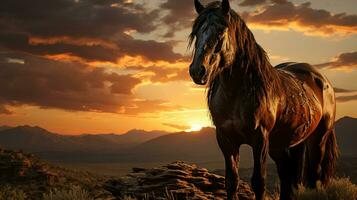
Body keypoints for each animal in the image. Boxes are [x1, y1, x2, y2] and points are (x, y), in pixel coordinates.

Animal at [188, 0, 338, 199]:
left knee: (313, 178)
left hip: (318, 138)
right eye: (197, 33)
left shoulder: (260, 139)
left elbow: (259, 183)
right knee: (289, 176)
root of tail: (322, 79)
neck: (236, 94)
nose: (198, 71)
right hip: (287, 143)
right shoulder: (226, 140)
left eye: (221, 31)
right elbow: (231, 182)